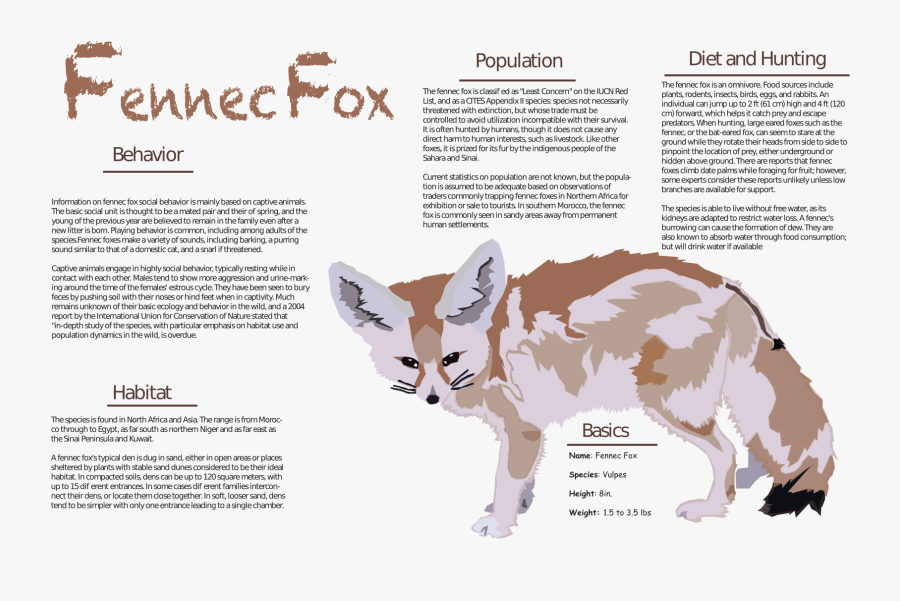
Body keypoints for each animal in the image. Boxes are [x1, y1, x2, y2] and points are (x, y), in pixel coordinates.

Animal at [329, 240, 835, 537]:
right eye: (410, 363)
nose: (433, 397)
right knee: (746, 448)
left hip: (670, 405)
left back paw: (712, 508)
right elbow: (524, 477)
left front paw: (502, 523)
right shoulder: (525, 426)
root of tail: (725, 282)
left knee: (727, 451)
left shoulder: (522, 425)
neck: (490, 348)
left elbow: (506, 476)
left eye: (451, 358)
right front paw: (520, 506)